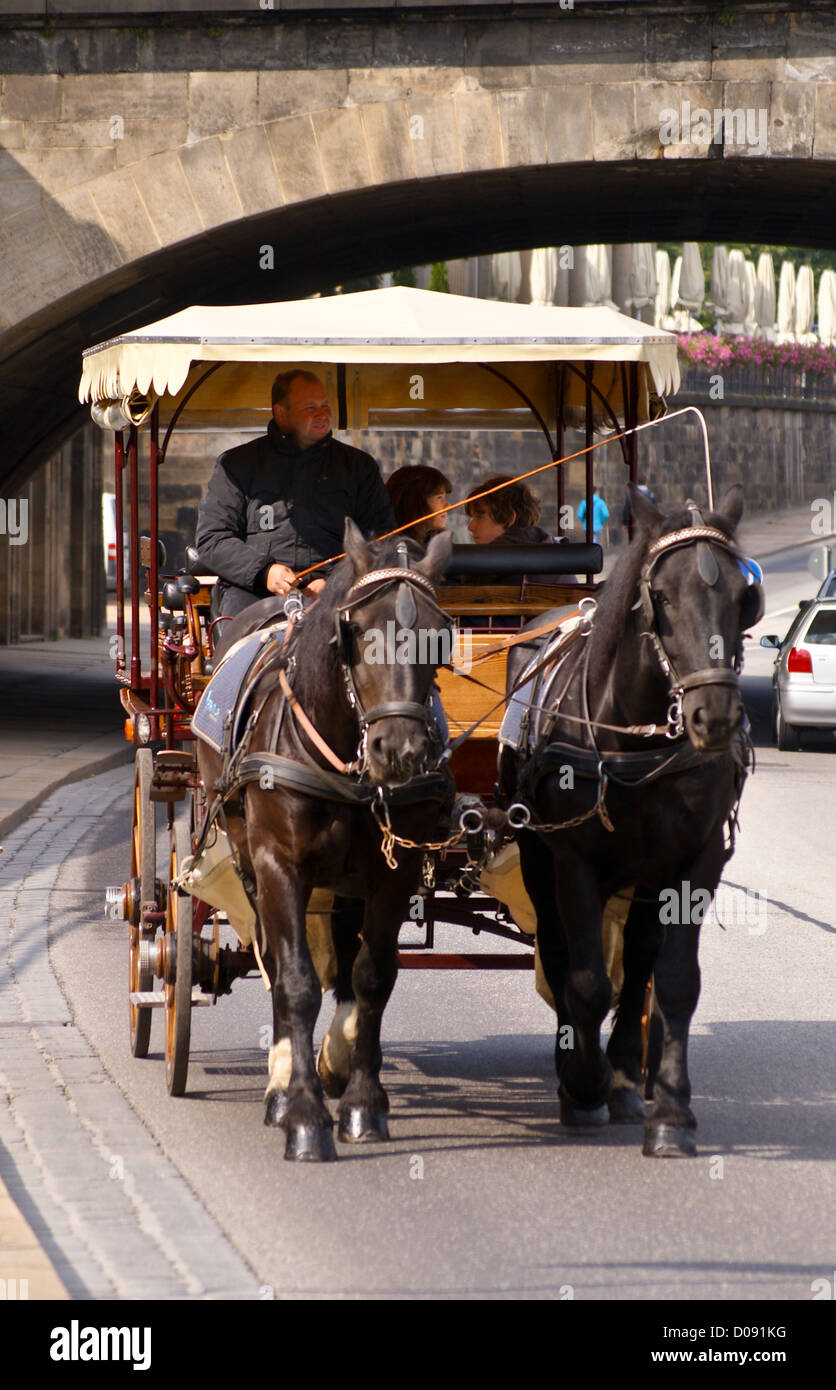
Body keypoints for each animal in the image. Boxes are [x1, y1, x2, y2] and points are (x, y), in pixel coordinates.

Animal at [197, 522, 453, 1162]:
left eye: (440, 634)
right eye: (354, 631)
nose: (401, 749)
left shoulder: (393, 873)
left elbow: (371, 978)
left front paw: (362, 1102)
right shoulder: (278, 865)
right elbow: (295, 982)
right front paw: (303, 1113)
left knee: (343, 961)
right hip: (246, 857)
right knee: (272, 956)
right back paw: (282, 1081)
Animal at [500, 483, 762, 1156]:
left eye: (743, 597)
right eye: (661, 596)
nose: (714, 716)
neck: (634, 737)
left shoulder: (696, 862)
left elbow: (675, 981)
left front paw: (669, 1113)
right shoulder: (572, 863)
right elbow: (587, 981)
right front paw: (583, 1085)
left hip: (648, 876)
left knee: (640, 957)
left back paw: (621, 1074)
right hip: (539, 857)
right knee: (560, 951)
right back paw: (581, 1069)